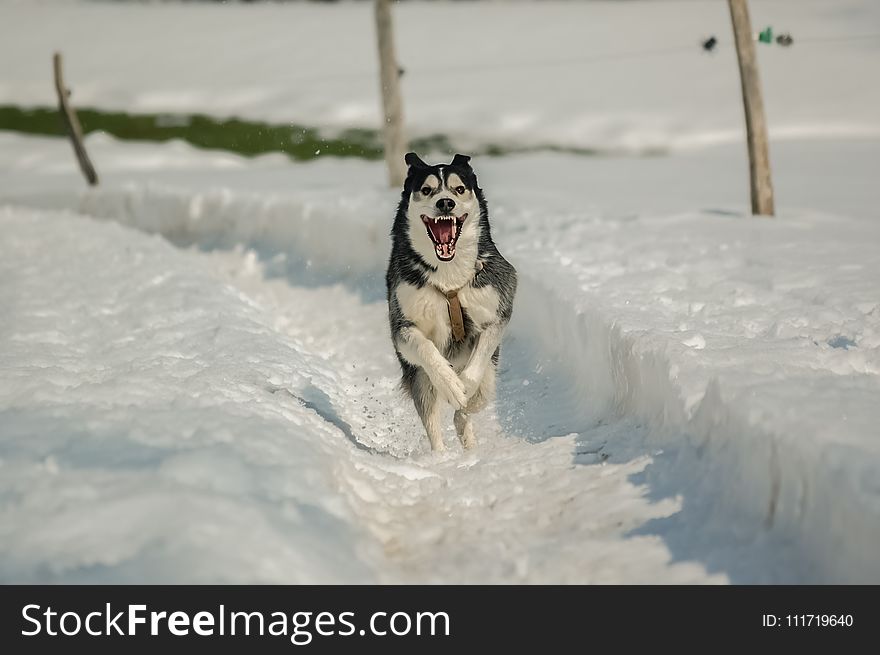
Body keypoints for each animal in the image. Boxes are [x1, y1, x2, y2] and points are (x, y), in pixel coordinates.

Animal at [384, 154, 516, 452]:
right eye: (426, 190)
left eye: (459, 189)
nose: (445, 203)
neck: (448, 277)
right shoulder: (402, 326)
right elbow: (425, 349)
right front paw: (452, 385)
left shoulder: (498, 306)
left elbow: (481, 360)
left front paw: (465, 386)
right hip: (419, 379)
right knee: (432, 421)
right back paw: (443, 457)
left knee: (480, 395)